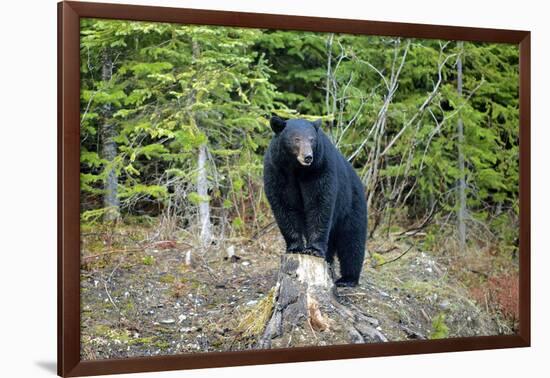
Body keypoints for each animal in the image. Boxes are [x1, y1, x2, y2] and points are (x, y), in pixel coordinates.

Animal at [266, 115, 368, 286]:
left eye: (312, 139)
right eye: (296, 139)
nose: (308, 156)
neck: (297, 169)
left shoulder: (320, 169)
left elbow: (319, 203)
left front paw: (313, 249)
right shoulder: (277, 171)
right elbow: (284, 205)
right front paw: (295, 247)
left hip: (352, 204)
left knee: (352, 240)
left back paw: (348, 278)